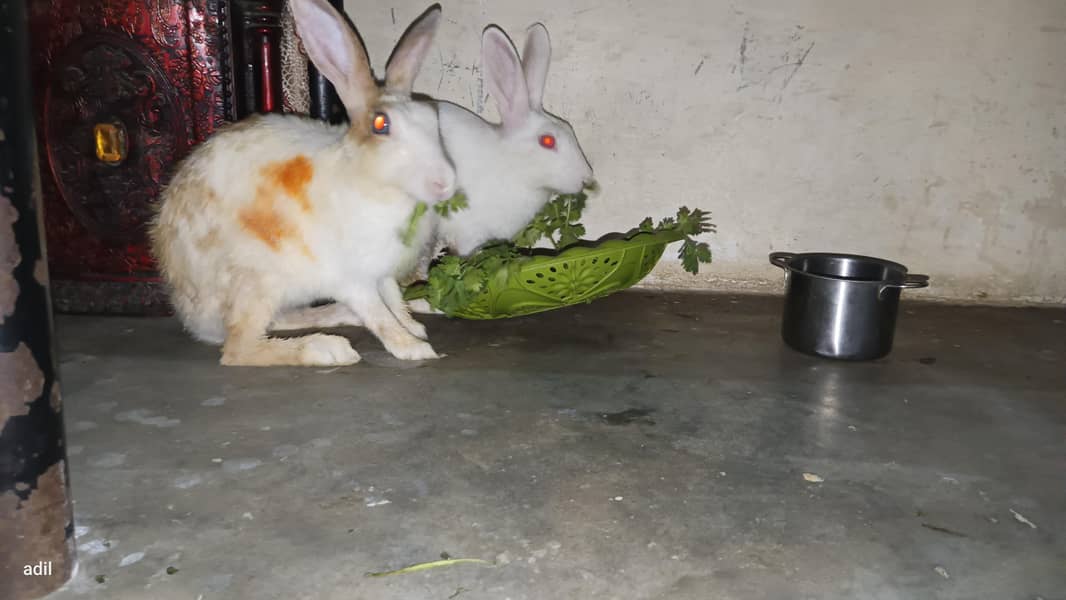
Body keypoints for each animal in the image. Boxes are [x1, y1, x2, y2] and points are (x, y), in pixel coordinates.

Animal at [149, 0, 455, 367]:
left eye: (432, 120)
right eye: (381, 125)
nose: (445, 184)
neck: (368, 181)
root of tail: (192, 316)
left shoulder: (383, 272)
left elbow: (393, 300)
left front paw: (413, 326)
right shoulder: (352, 278)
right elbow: (378, 314)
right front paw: (413, 347)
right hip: (259, 281)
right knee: (239, 349)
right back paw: (326, 349)